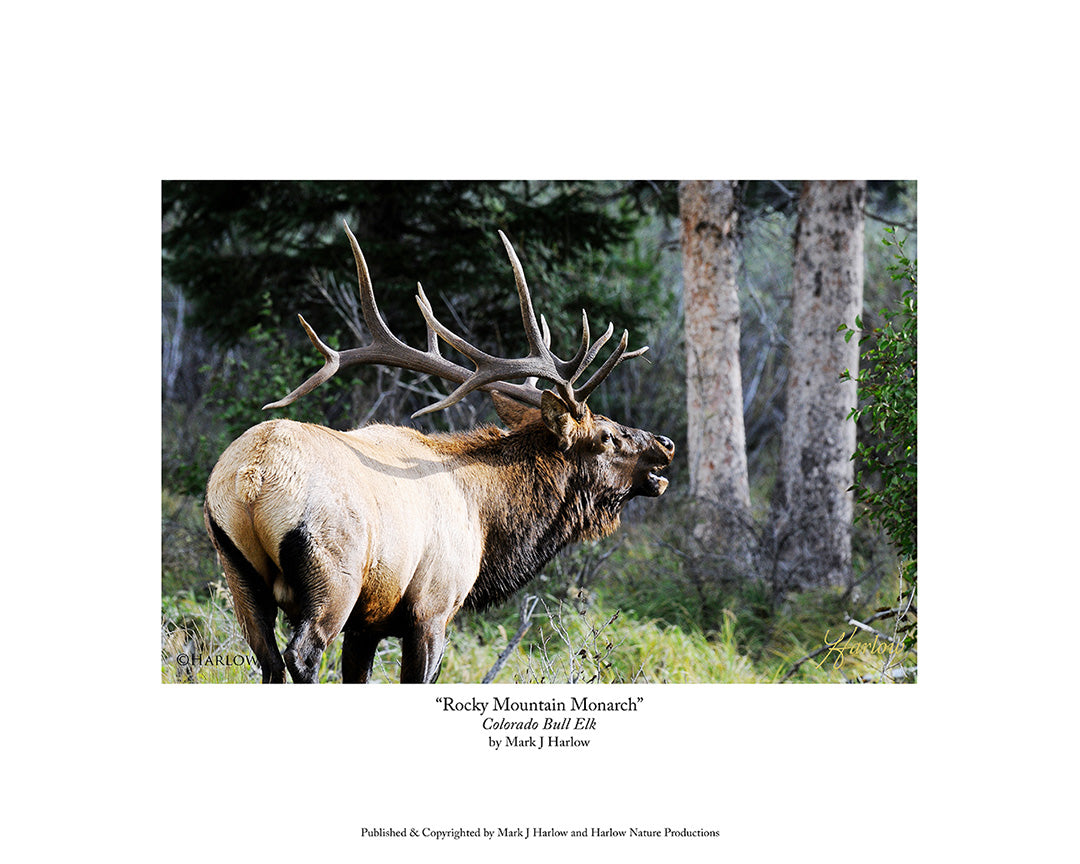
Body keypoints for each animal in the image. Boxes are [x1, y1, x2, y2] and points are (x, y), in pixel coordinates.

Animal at [203, 223, 674, 683]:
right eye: (607, 436)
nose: (665, 444)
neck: (487, 525)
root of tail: (251, 481)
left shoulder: (368, 622)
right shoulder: (432, 607)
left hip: (237, 572)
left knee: (268, 661)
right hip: (333, 573)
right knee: (301, 655)